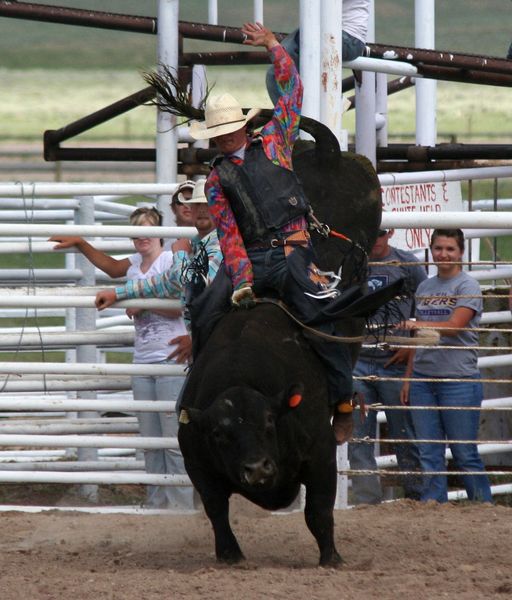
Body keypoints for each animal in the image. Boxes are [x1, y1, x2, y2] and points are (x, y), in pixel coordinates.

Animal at [180, 118, 384, 568]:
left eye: (270, 423)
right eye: (220, 434)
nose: (257, 470)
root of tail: (322, 155)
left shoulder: (321, 453)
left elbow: (318, 510)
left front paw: (331, 558)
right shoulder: (197, 460)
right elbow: (216, 510)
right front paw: (231, 557)